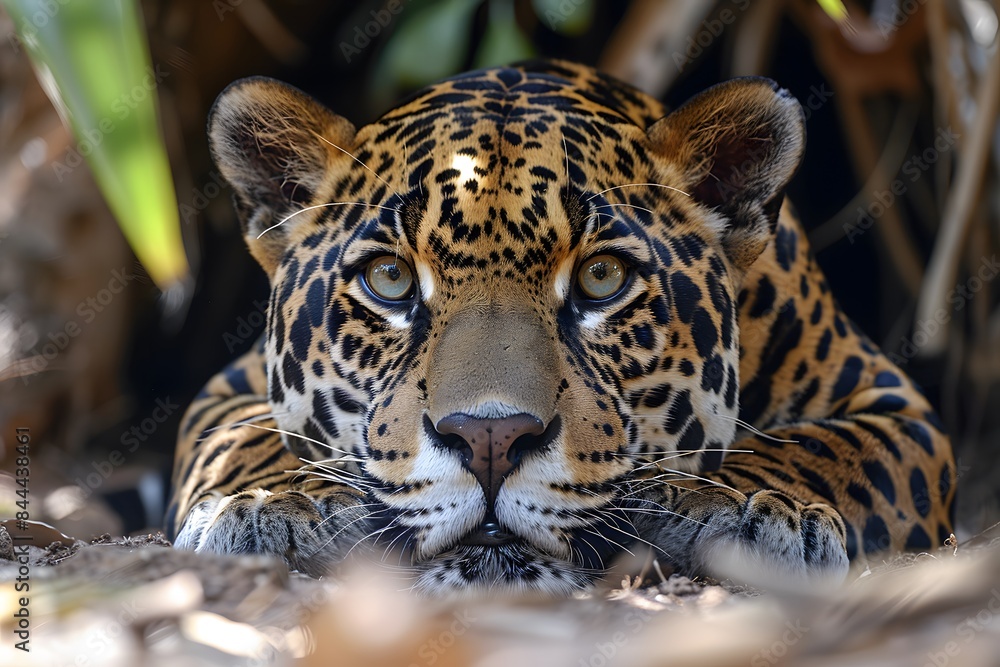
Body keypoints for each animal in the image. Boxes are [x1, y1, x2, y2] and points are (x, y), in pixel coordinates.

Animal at [167, 60, 955, 594]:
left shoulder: (901, 411)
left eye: (602, 278)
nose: (489, 439)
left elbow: (825, 448)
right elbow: (241, 440)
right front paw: (275, 503)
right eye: (388, 279)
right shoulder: (223, 390)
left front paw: (750, 505)